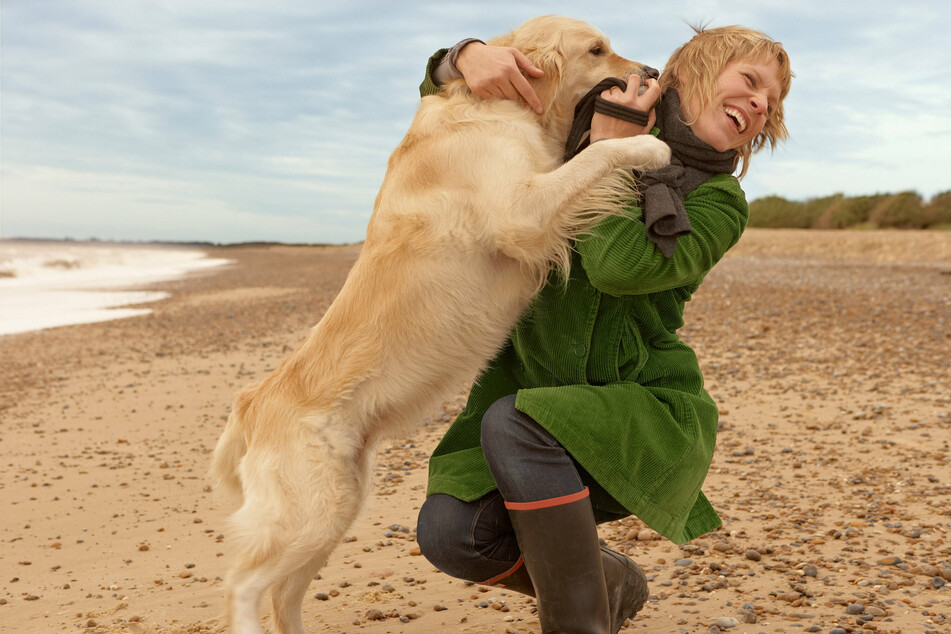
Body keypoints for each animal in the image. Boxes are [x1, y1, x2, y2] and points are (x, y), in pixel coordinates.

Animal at [212, 14, 668, 632]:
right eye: (598, 50)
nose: (653, 71)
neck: (502, 106)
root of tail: (251, 404)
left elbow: (582, 162)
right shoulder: (521, 213)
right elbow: (594, 157)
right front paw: (647, 143)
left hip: (337, 507)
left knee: (284, 594)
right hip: (309, 512)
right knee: (243, 583)